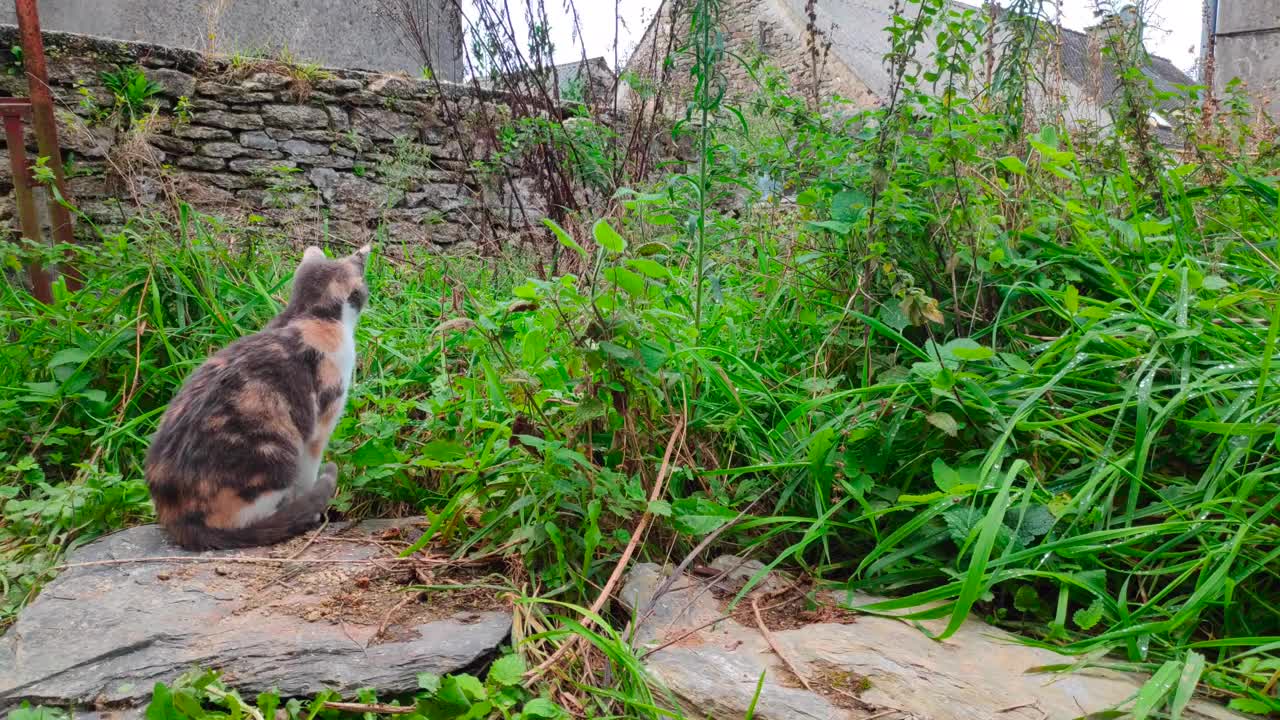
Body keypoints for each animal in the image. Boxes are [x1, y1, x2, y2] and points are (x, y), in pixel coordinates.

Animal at [147, 243, 373, 545]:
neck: (310, 315)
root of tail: (174, 517)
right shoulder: (319, 427)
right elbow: (309, 475)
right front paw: (313, 512)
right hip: (275, 455)